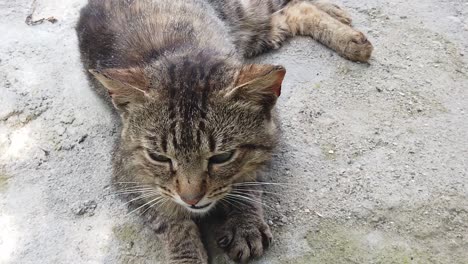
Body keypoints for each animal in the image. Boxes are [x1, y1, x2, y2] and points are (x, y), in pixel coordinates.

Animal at [76, 0, 370, 262]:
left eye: (221, 157)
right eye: (159, 157)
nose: (191, 199)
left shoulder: (269, 142)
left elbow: (246, 181)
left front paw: (244, 223)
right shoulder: (128, 176)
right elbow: (170, 220)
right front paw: (187, 254)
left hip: (245, 14)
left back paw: (349, 35)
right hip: (256, 32)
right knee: (289, 14)